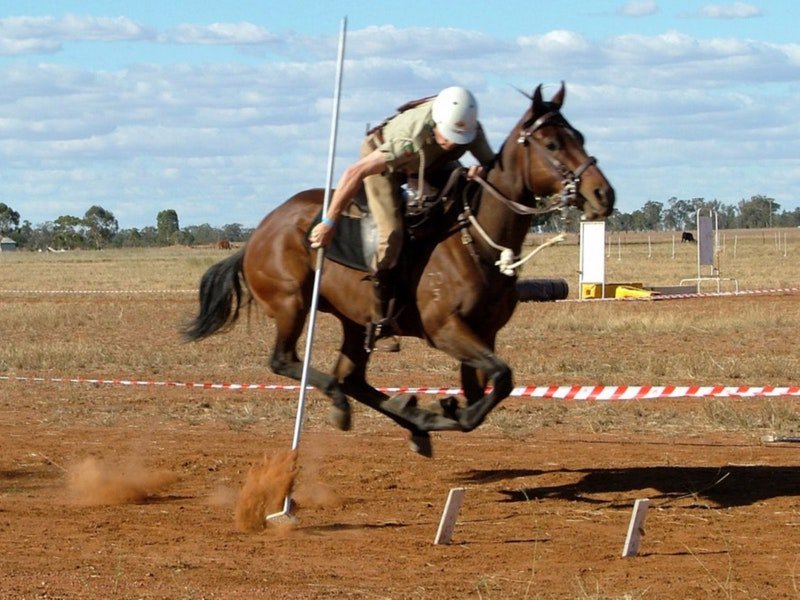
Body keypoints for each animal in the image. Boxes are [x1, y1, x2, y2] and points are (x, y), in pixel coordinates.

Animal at [186, 83, 612, 454]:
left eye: (581, 137)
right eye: (553, 144)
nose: (603, 194)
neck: (474, 240)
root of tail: (257, 233)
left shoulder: (483, 334)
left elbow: (491, 386)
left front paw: (443, 410)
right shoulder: (445, 330)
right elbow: (498, 382)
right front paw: (446, 411)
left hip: (354, 321)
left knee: (352, 378)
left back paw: (412, 421)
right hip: (292, 304)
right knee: (288, 362)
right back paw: (351, 403)